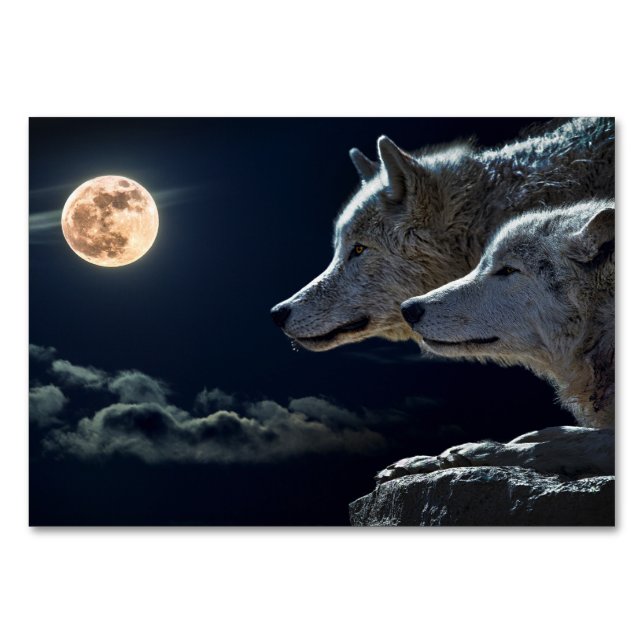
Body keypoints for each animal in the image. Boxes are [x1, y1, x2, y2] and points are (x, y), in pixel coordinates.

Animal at [376, 199, 615, 482]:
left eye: (508, 270)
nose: (408, 309)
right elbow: (555, 432)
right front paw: (423, 460)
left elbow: (550, 447)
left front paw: (474, 451)